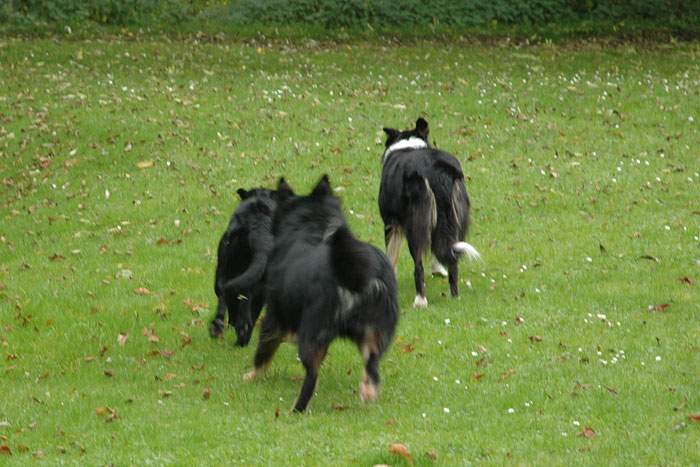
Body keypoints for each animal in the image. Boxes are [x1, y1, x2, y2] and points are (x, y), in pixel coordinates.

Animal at [378, 118, 482, 308]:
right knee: (452, 258)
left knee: (418, 266)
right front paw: (438, 270)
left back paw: (420, 300)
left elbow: (391, 255)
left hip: (415, 225)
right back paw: (454, 296)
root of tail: (436, 171)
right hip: (456, 218)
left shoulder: (390, 224)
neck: (408, 144)